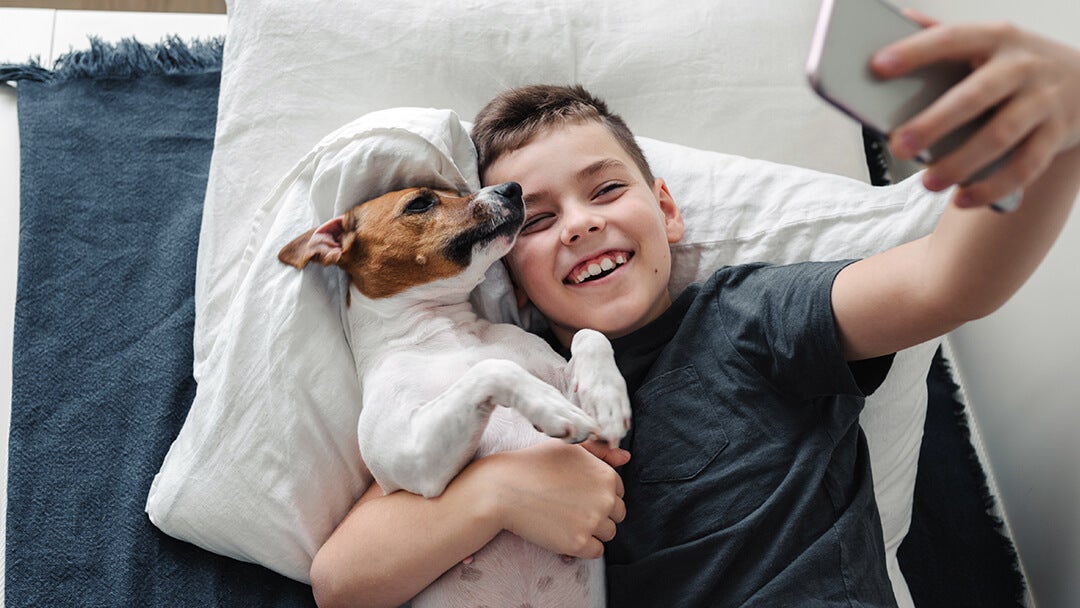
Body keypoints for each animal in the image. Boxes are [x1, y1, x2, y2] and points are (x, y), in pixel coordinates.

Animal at [278, 182, 630, 608]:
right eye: (420, 202)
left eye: (454, 190)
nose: (512, 189)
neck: (444, 330)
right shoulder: (413, 457)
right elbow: (493, 368)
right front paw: (552, 409)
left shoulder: (560, 375)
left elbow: (589, 335)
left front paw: (607, 399)